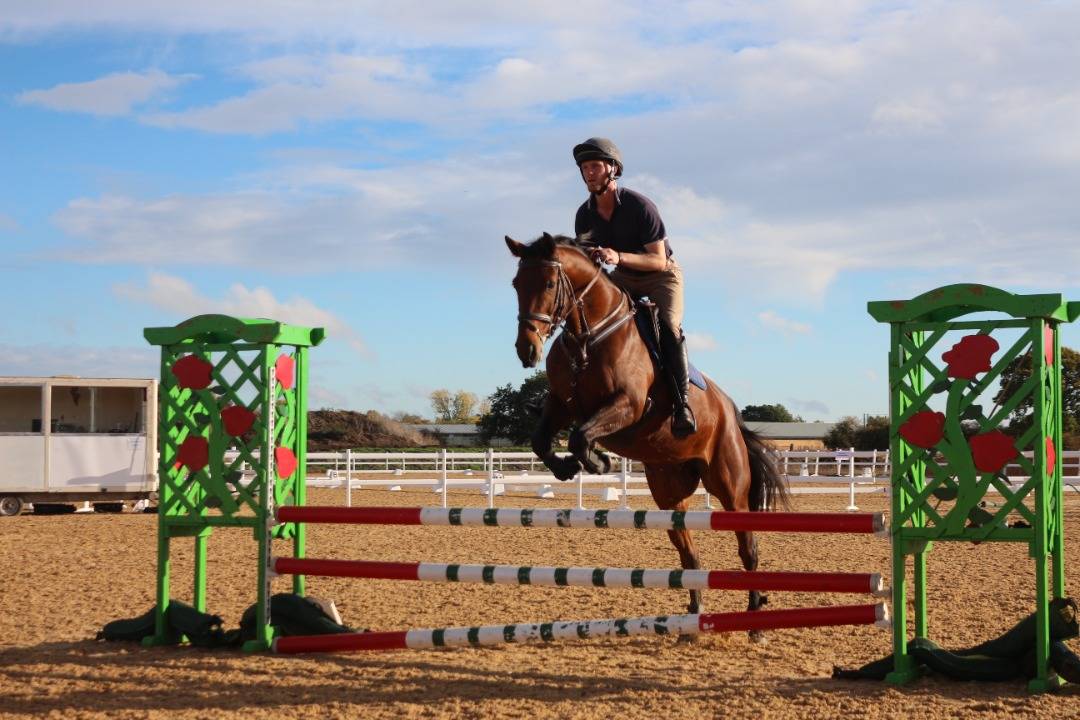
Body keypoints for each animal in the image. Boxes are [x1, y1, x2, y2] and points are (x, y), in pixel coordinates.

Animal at [505, 232, 789, 631]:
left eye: (548, 283)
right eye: (516, 284)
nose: (526, 350)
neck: (587, 337)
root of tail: (731, 411)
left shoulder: (629, 404)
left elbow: (580, 435)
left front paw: (598, 462)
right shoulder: (561, 404)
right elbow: (542, 440)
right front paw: (568, 467)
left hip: (729, 484)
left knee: (747, 547)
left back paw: (754, 619)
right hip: (669, 491)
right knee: (689, 556)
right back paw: (692, 619)